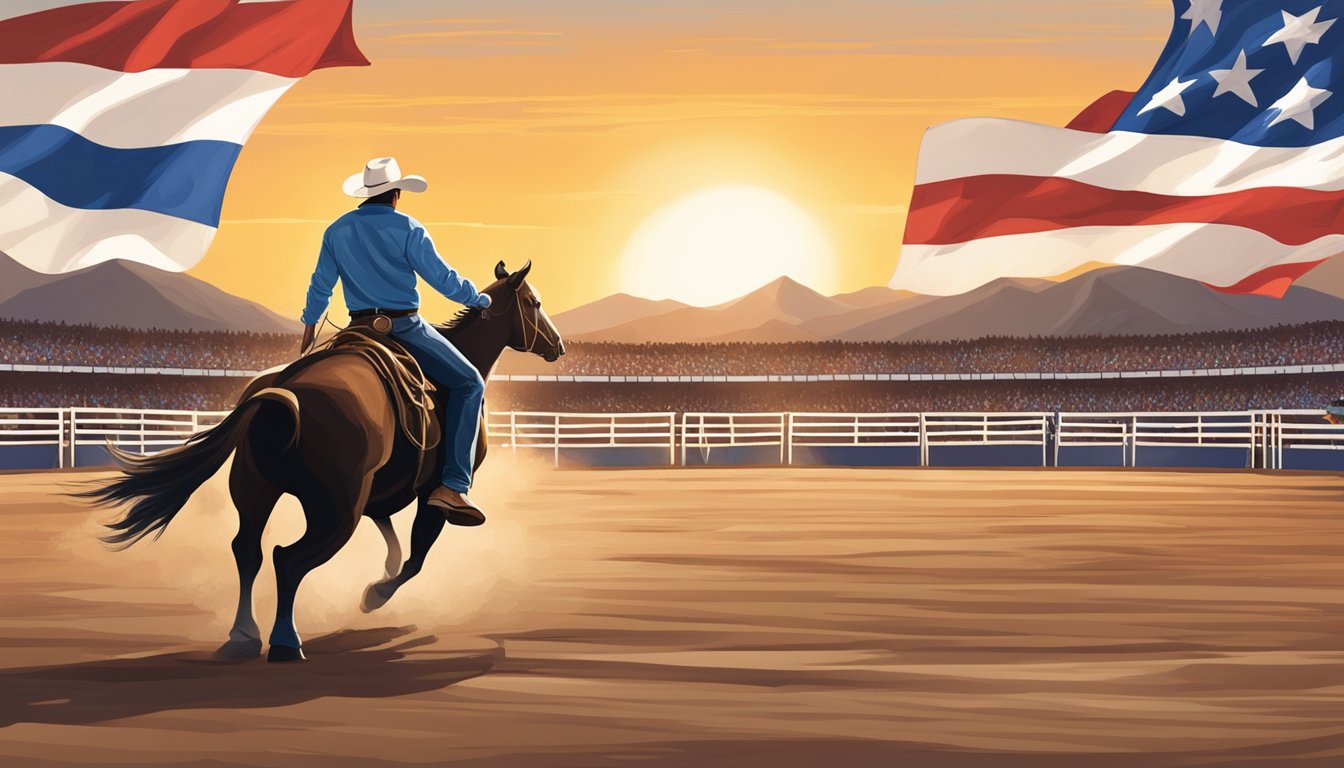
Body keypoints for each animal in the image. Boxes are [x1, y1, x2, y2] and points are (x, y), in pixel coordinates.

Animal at [79, 260, 561, 664]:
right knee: (287, 559)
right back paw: (285, 642)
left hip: (255, 490)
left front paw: (382, 574)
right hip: (334, 510)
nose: (557, 345)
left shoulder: (380, 492)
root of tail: (285, 392)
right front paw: (376, 594)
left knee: (248, 551)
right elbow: (416, 555)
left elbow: (391, 537)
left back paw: (243, 636)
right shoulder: (431, 493)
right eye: (534, 303)